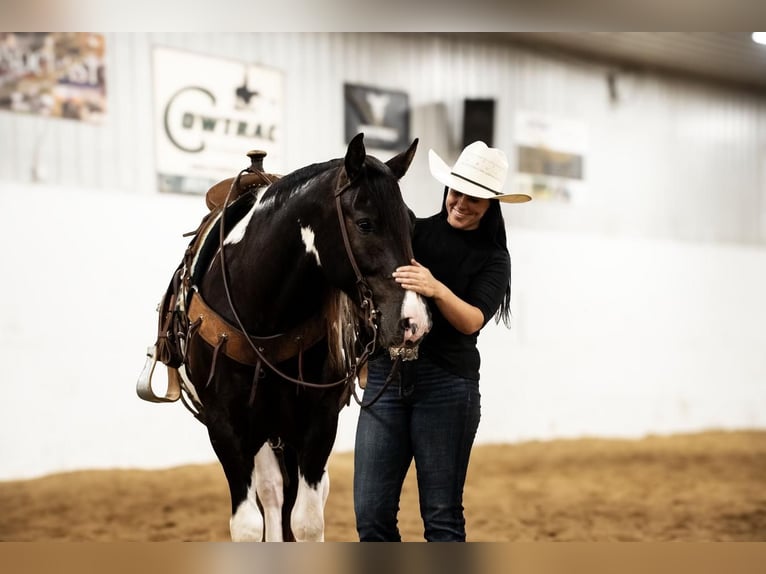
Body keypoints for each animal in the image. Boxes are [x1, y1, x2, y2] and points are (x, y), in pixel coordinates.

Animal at [140, 133, 432, 544]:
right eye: (365, 223)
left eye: (410, 222)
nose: (413, 321)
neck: (263, 315)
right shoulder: (227, 428)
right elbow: (250, 524)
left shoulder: (319, 423)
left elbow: (308, 521)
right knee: (273, 492)